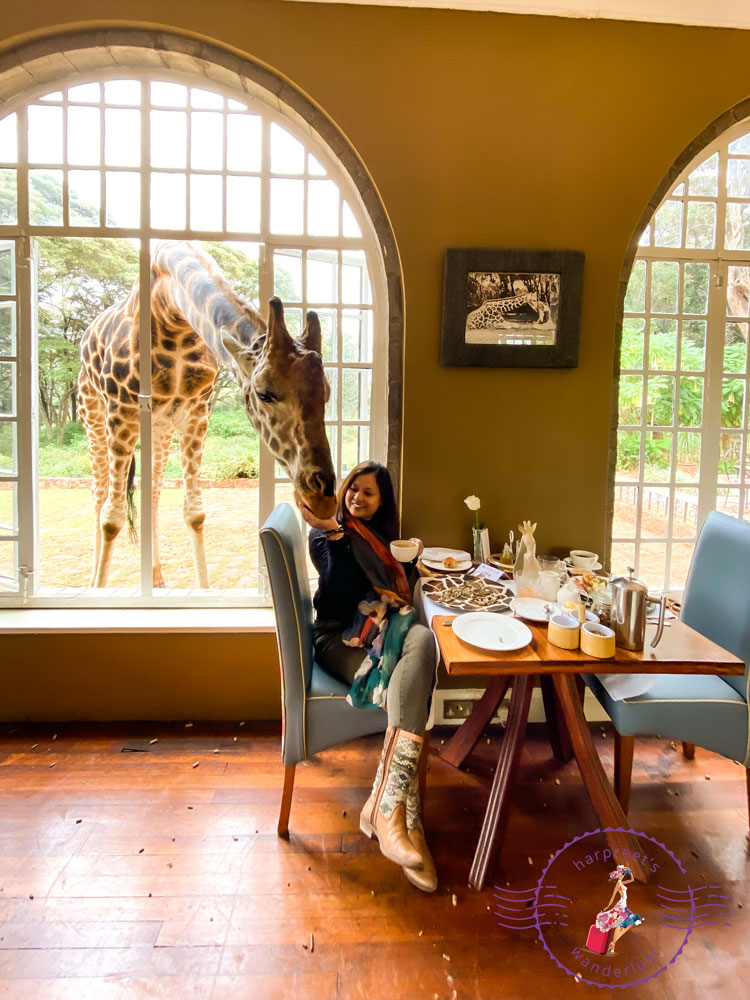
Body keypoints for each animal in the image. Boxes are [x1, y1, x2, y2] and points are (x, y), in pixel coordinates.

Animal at [76, 239, 334, 588]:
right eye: (264, 393)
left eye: (327, 393)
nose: (323, 497)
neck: (172, 314)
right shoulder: (122, 410)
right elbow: (112, 518)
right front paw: (98, 589)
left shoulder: (196, 412)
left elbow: (194, 512)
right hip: (93, 412)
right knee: (99, 492)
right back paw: (92, 578)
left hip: (160, 426)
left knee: (153, 491)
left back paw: (156, 577)